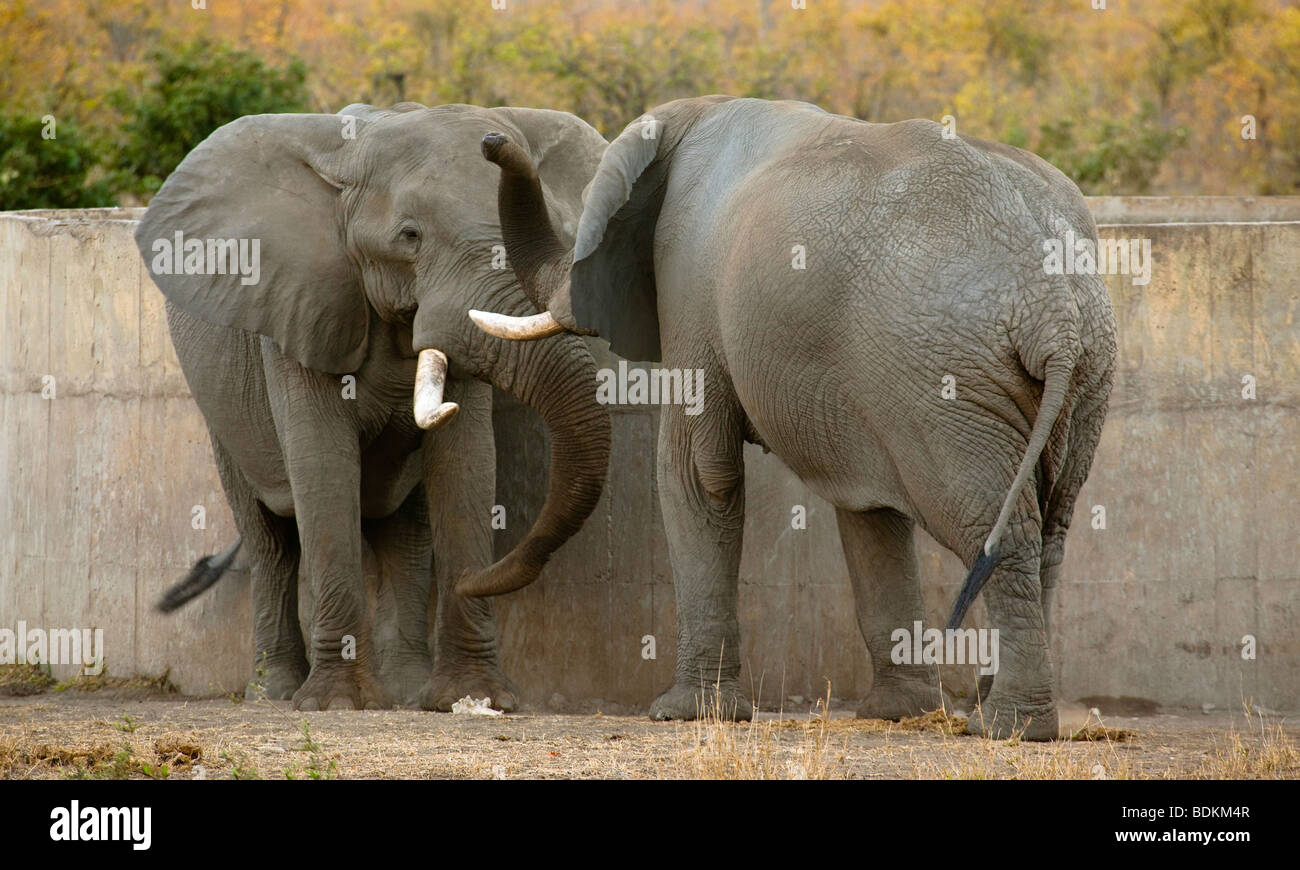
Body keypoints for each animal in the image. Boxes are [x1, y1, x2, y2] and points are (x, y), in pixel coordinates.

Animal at [134, 102, 611, 707]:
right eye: (409, 236)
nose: (493, 139)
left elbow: (467, 460)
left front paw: (474, 699)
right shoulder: (301, 305)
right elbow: (322, 467)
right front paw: (335, 704)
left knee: (406, 532)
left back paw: (405, 689)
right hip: (222, 412)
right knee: (270, 538)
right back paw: (274, 692)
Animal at [467, 94, 1118, 738]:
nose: (492, 140)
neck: (690, 113)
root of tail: (1053, 314)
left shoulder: (688, 284)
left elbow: (697, 475)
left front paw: (685, 712)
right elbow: (869, 513)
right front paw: (896, 712)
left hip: (950, 382)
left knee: (996, 528)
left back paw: (1010, 726)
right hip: (1082, 378)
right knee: (1051, 531)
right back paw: (994, 711)